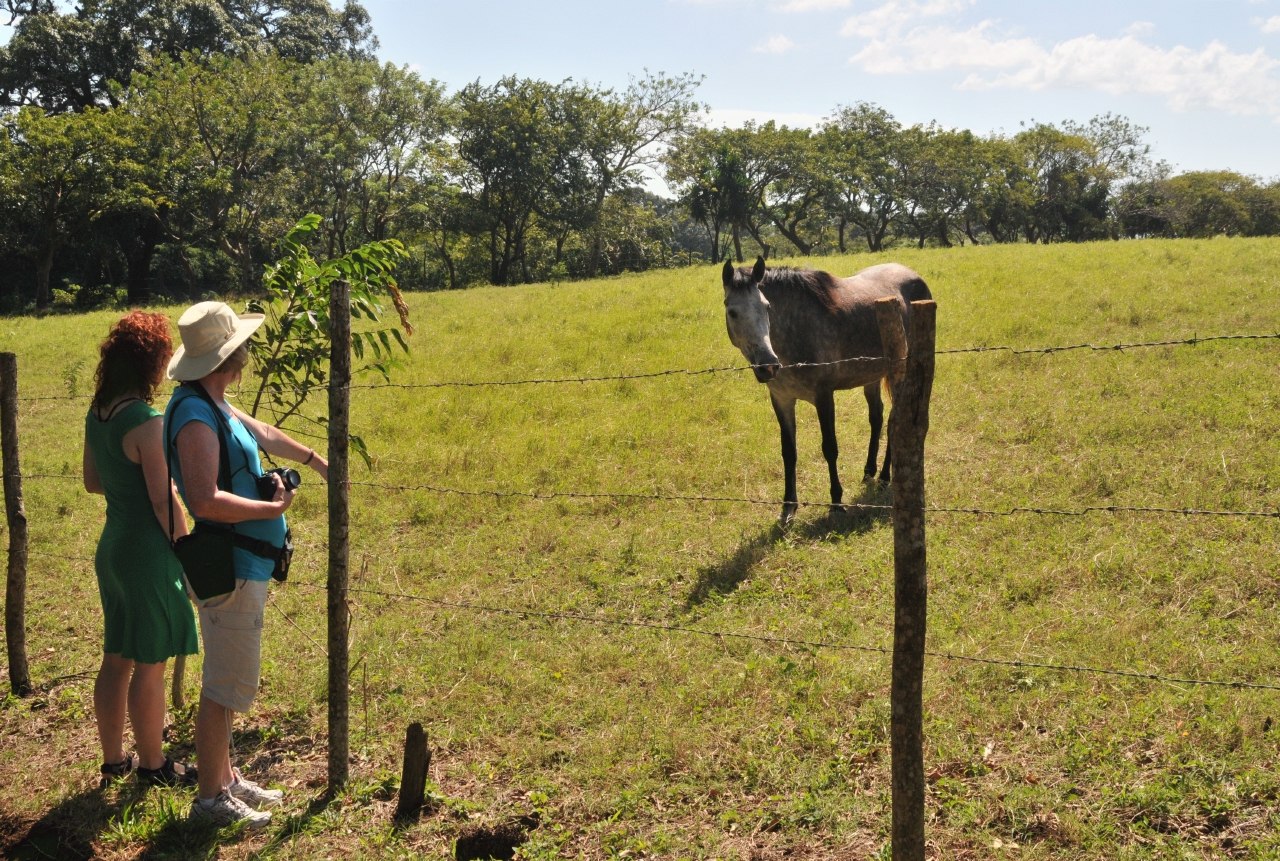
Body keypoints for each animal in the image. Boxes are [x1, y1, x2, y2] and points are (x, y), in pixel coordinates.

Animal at [727, 255, 936, 524]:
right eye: (732, 312)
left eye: (766, 307)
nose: (768, 366)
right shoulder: (782, 399)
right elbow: (789, 452)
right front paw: (788, 506)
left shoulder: (824, 396)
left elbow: (830, 448)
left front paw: (836, 502)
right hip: (872, 376)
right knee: (877, 418)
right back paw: (869, 471)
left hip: (899, 373)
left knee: (894, 422)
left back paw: (885, 477)